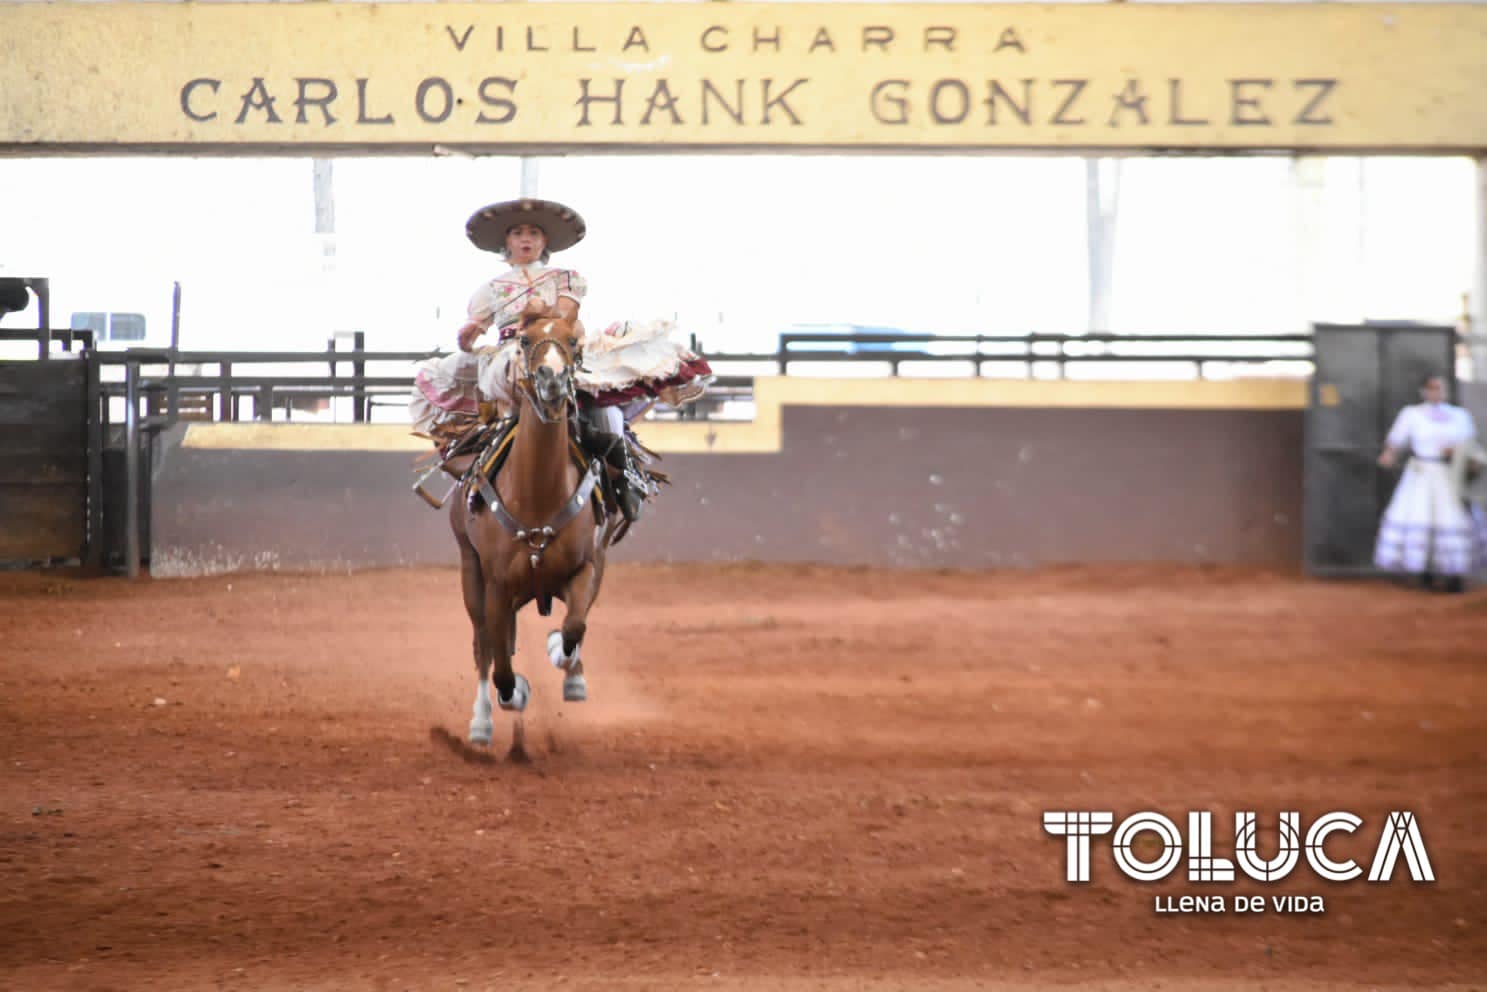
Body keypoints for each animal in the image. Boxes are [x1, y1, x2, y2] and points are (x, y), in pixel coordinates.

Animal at [449, 313, 618, 749]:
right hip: (469, 570)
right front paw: (512, 696)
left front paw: (562, 655)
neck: (538, 493)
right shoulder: (495, 584)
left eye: (573, 341)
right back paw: (481, 721)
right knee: (484, 647)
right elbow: (501, 666)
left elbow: (575, 626)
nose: (551, 378)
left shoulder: (586, 568)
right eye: (524, 340)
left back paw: (571, 674)